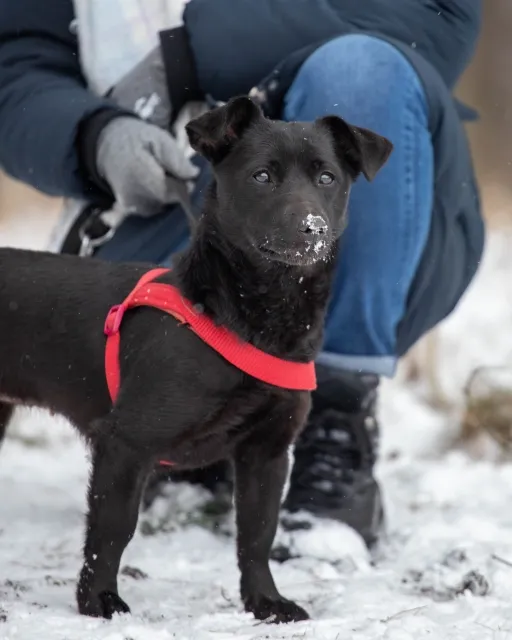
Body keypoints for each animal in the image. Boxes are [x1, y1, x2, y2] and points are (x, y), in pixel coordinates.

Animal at [0, 97, 392, 624]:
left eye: (327, 177)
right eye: (262, 176)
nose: (310, 227)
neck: (250, 318)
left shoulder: (267, 452)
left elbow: (256, 535)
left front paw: (264, 602)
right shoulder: (126, 443)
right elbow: (112, 529)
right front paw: (98, 600)